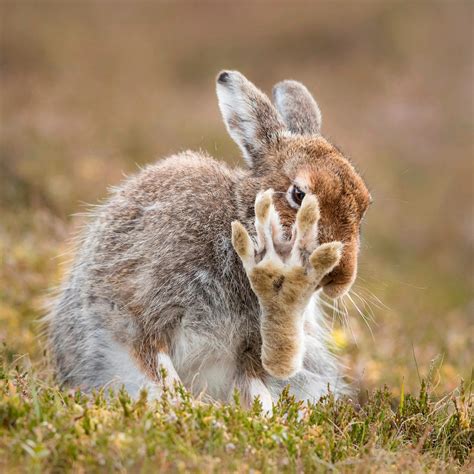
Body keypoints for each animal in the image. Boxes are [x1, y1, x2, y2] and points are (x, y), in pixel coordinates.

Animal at [48, 71, 372, 412]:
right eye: (298, 194)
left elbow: (256, 390)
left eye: (365, 204)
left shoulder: (250, 348)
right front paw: (188, 408)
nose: (341, 277)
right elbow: (158, 369)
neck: (238, 228)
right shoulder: (140, 311)